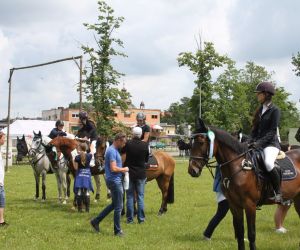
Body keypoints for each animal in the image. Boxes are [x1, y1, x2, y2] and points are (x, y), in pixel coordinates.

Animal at [190, 118, 300, 250]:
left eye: (201, 142)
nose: (192, 170)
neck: (238, 166)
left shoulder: (250, 205)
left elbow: (251, 234)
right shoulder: (234, 205)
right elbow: (240, 233)